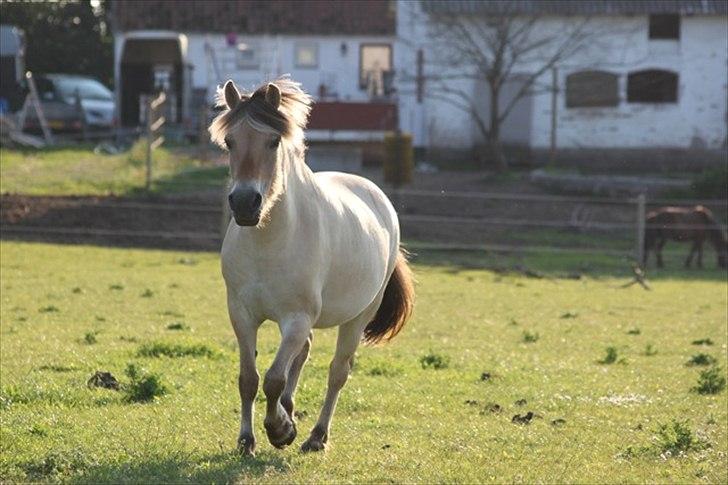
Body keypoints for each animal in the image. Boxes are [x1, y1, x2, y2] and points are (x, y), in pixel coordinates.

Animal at [210, 76, 416, 454]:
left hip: (358, 317)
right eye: (230, 141)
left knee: (338, 372)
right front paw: (248, 440)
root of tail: (378, 197)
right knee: (303, 353)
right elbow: (249, 378)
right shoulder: (242, 314)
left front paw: (280, 430)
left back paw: (316, 436)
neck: (269, 242)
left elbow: (274, 379)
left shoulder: (297, 318)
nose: (245, 203)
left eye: (273, 141)